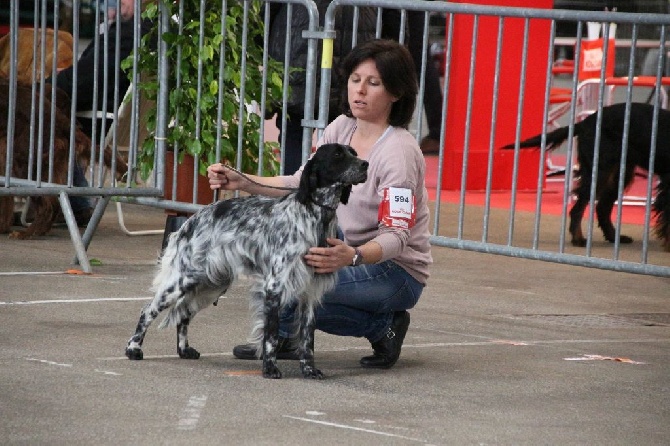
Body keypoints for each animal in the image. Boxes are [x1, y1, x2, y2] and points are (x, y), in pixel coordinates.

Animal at [129, 144, 370, 380]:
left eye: (354, 153)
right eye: (338, 154)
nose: (365, 164)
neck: (316, 215)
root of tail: (192, 219)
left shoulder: (310, 292)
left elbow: (307, 339)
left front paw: (309, 370)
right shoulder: (274, 287)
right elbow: (270, 336)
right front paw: (270, 369)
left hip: (211, 284)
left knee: (183, 313)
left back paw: (183, 350)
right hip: (183, 280)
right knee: (148, 310)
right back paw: (133, 348)